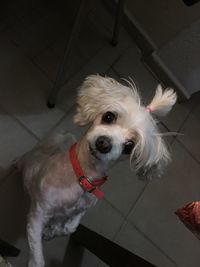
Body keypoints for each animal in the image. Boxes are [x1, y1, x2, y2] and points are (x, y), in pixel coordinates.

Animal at [17, 75, 177, 267]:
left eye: (130, 146)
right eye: (109, 116)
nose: (104, 143)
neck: (82, 176)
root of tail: (42, 151)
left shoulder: (85, 206)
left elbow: (71, 226)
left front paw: (54, 229)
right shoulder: (37, 215)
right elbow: (38, 256)